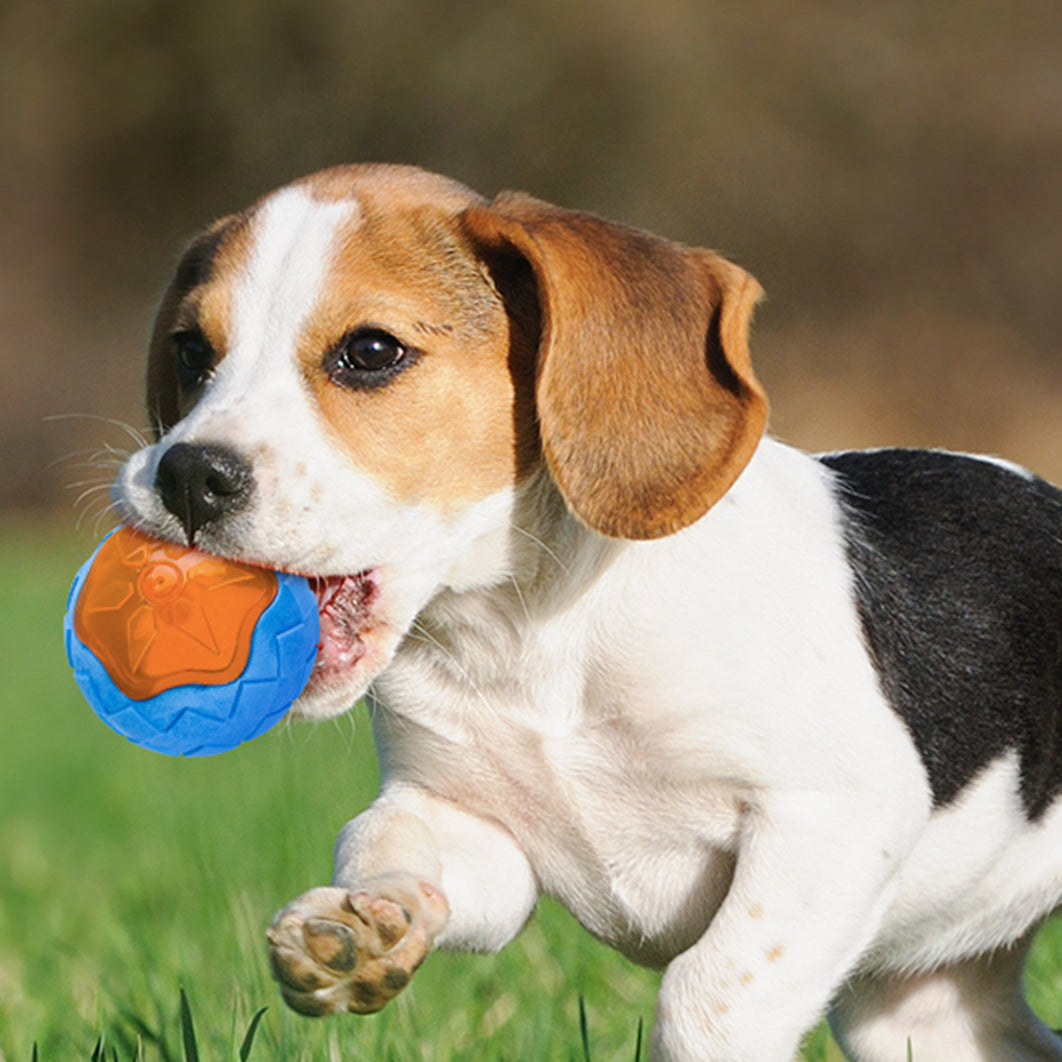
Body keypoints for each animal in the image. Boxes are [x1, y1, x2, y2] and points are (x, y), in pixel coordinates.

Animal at [109, 159, 1062, 1062]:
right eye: (191, 352)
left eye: (370, 351)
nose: (187, 475)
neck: (528, 632)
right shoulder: (472, 827)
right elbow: (383, 840)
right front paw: (360, 927)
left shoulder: (833, 814)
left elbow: (711, 993)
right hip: (917, 1010)